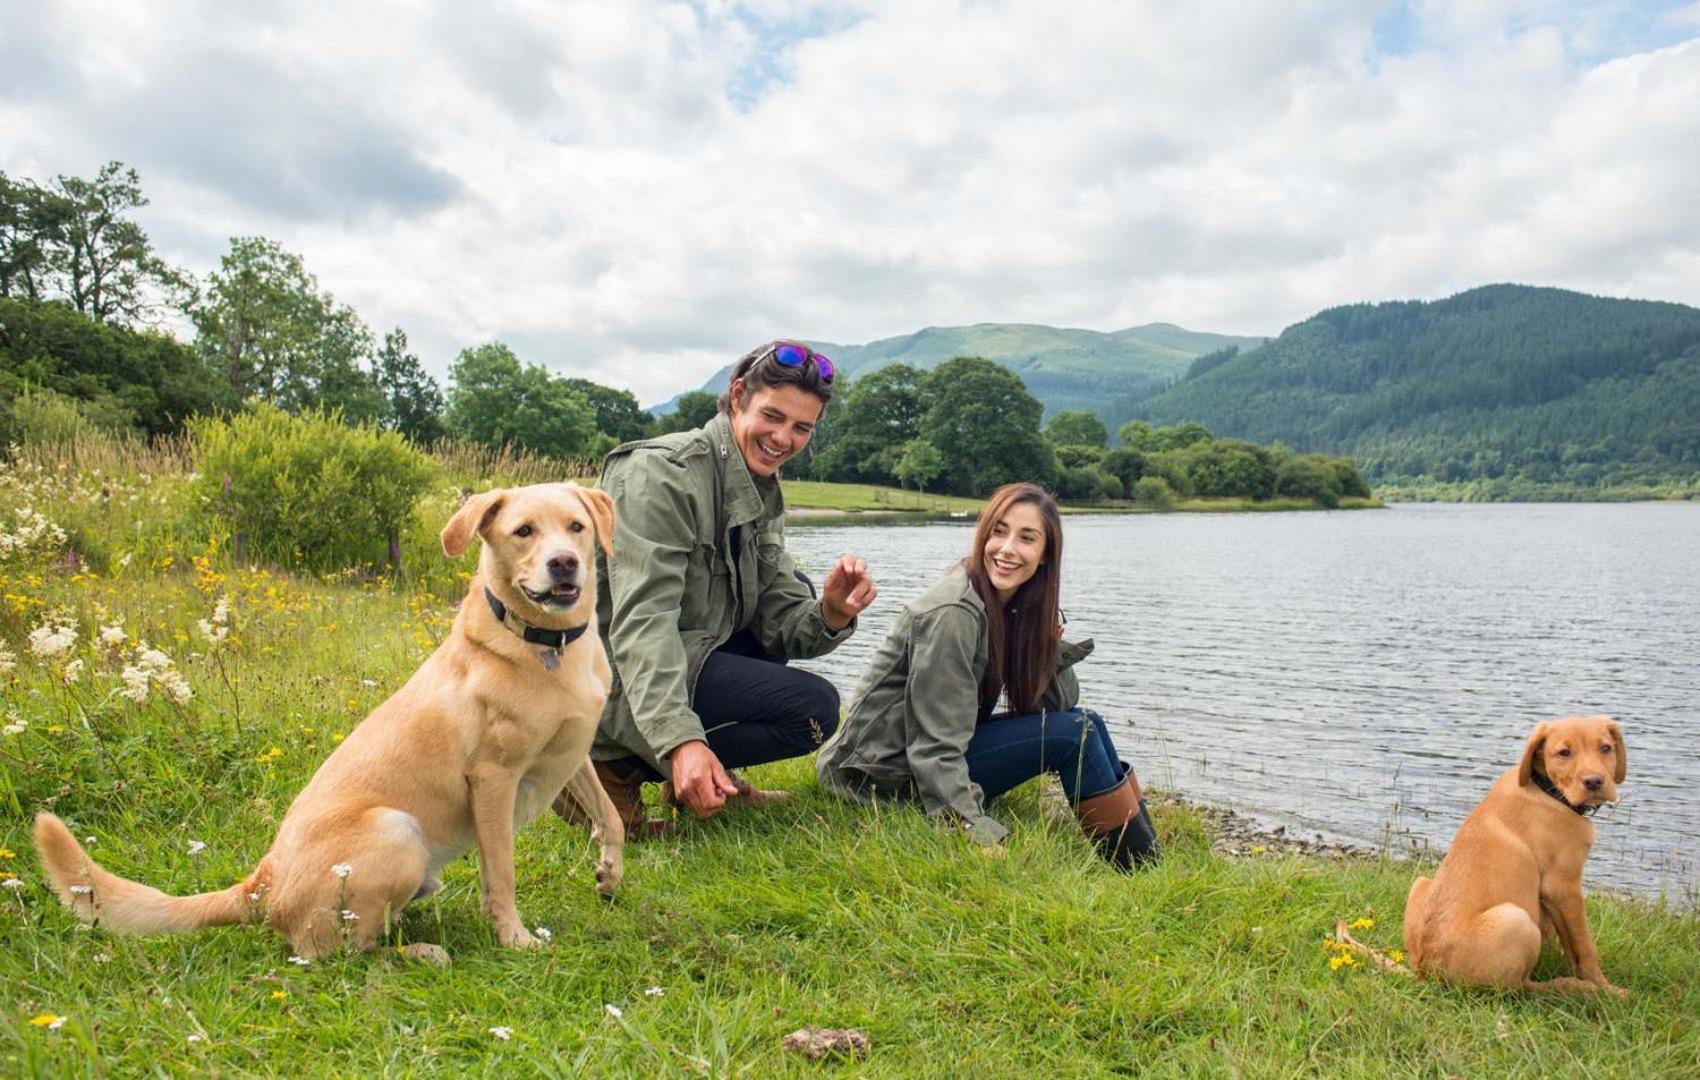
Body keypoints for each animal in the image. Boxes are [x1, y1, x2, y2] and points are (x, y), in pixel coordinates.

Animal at [33, 486, 629, 959]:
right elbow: (501, 873)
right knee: (334, 953)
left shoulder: (573, 756)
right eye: (523, 531)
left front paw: (609, 875)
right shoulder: (493, 780)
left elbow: (611, 818)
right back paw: (418, 953)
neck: (546, 645)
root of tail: (262, 885)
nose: (564, 563)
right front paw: (514, 938)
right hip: (397, 830)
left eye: (575, 527)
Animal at [1400, 714, 1625, 1000]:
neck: (1548, 790)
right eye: (1564, 753)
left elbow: (1563, 940)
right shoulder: (1563, 887)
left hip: (1420, 882)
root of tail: (1428, 974)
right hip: (1516, 919)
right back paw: (1572, 988)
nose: (1594, 782)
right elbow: (1584, 946)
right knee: (1518, 988)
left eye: (1606, 748)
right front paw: (1606, 989)